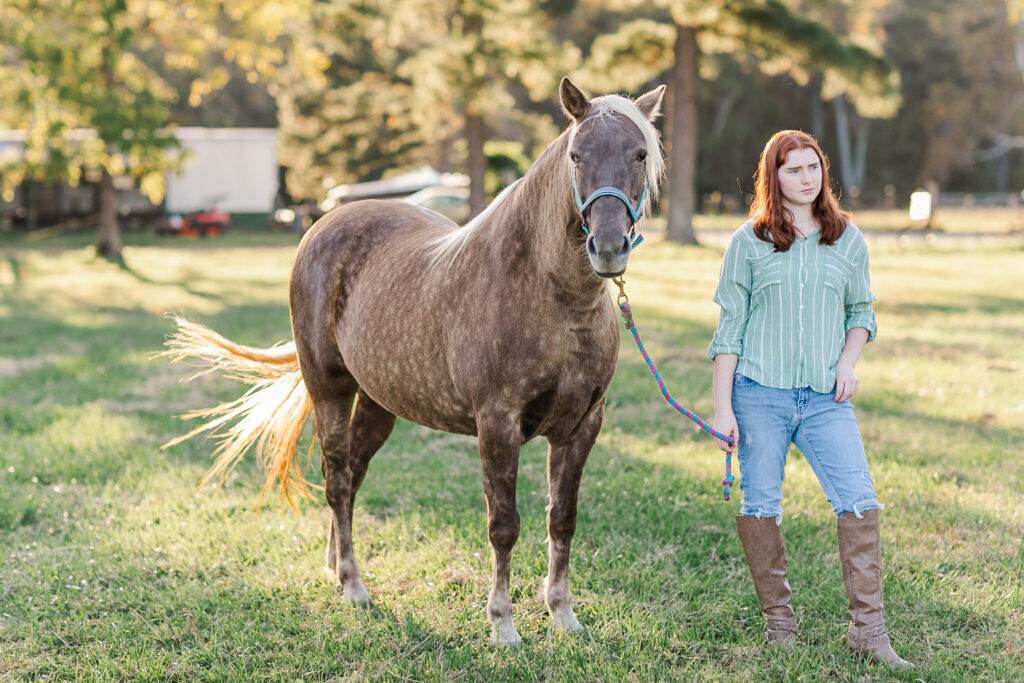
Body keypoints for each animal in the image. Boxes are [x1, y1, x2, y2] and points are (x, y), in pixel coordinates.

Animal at [163, 80, 667, 647]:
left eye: (640, 154)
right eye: (577, 156)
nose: (608, 247)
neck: (555, 299)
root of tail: (325, 222)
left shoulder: (581, 427)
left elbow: (562, 519)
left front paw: (563, 615)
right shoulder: (498, 424)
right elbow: (504, 525)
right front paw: (503, 625)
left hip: (379, 403)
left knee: (353, 474)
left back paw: (334, 565)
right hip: (329, 390)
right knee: (337, 478)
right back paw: (353, 585)